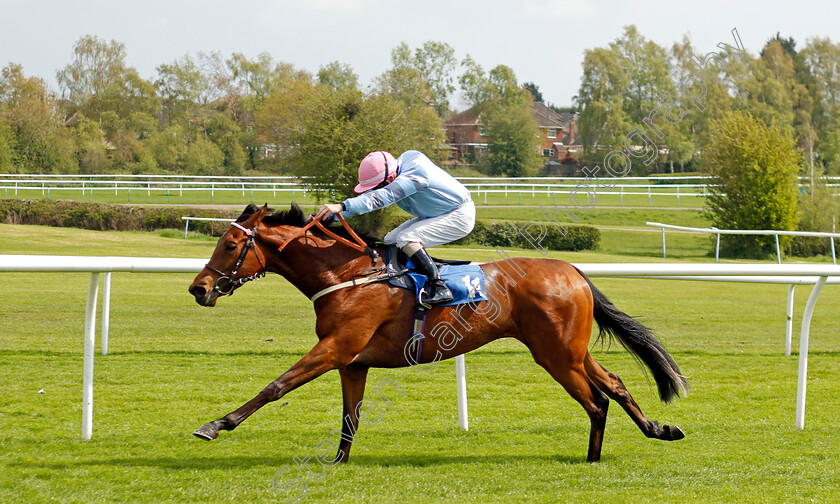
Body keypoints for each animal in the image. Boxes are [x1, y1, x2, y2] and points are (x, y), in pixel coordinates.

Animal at [187, 204, 684, 460]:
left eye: (230, 244)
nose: (199, 288)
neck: (346, 275)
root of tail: (574, 271)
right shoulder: (353, 362)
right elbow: (350, 417)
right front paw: (338, 461)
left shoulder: (334, 348)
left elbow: (276, 387)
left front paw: (215, 425)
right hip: (572, 350)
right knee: (615, 384)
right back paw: (659, 429)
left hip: (556, 355)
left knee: (596, 401)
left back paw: (594, 456)